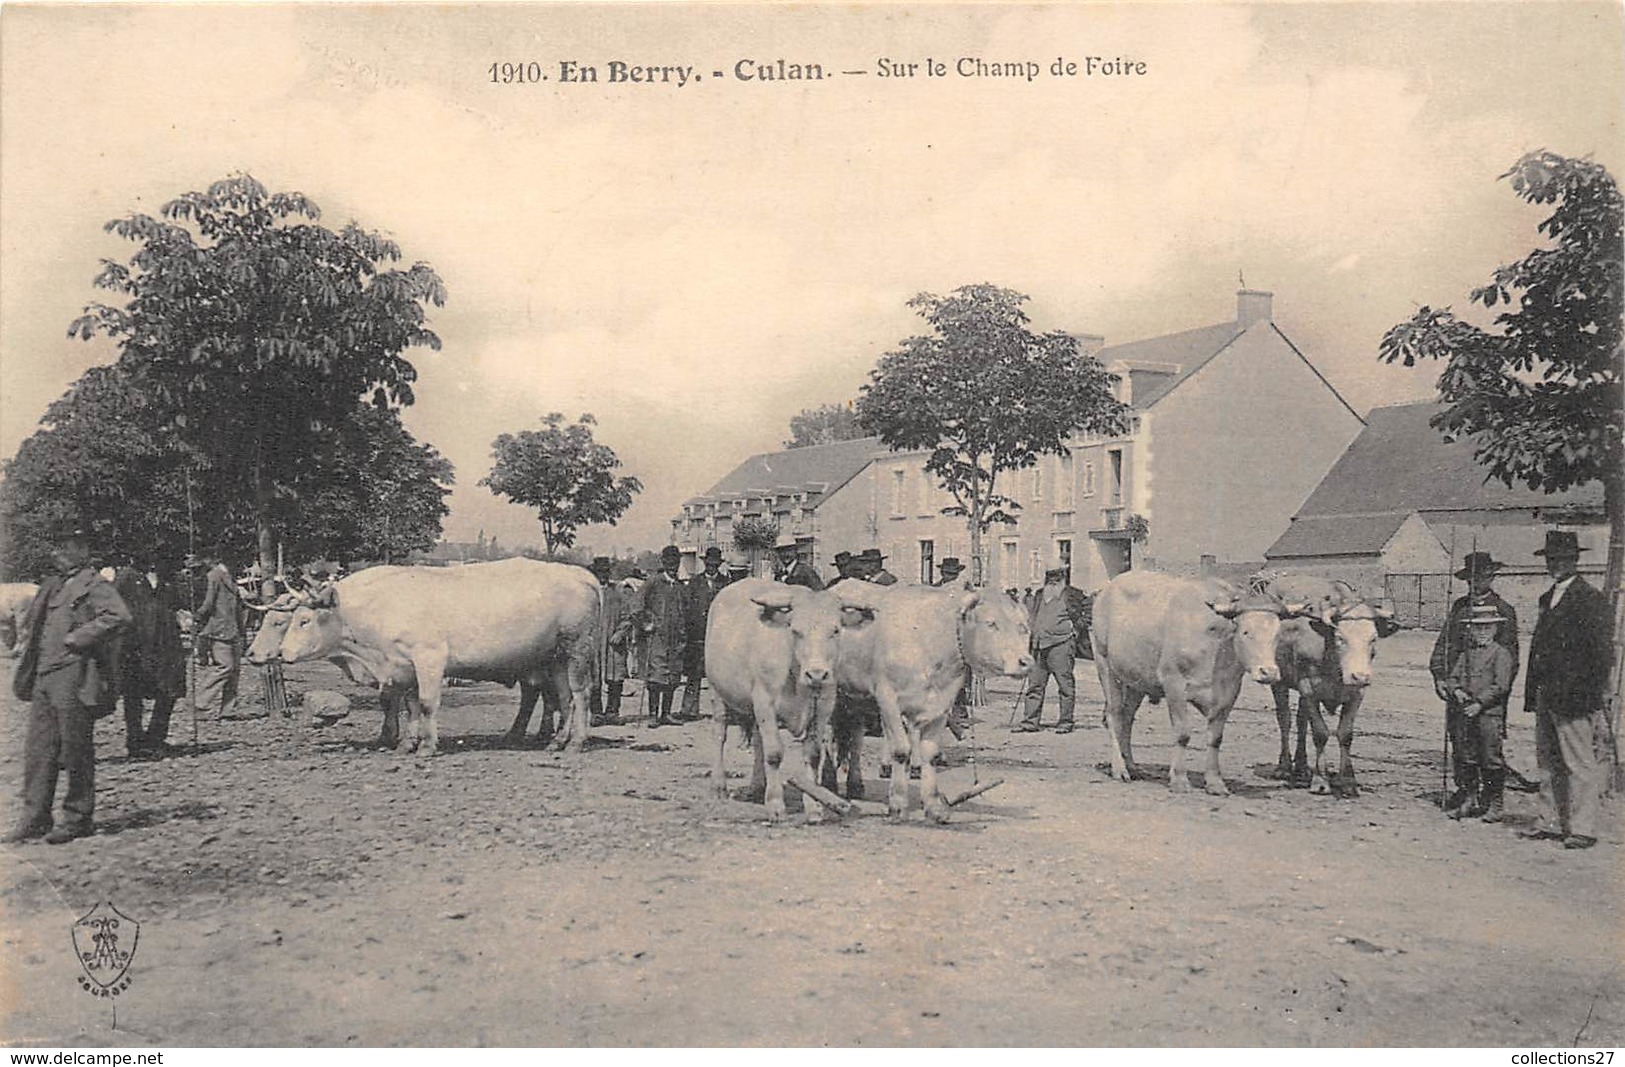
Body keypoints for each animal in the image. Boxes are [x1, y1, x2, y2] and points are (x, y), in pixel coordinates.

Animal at [250, 558, 607, 756]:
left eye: (302, 620)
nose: (279, 653)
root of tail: (582, 574)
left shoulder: (429, 659)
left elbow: (425, 703)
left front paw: (425, 746)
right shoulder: (402, 666)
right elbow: (408, 704)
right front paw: (405, 743)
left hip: (577, 649)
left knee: (580, 693)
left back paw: (576, 742)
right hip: (555, 657)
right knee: (562, 696)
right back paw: (556, 741)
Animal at [702, 578, 871, 818]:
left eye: (836, 630)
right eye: (796, 631)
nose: (816, 673)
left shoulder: (823, 707)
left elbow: (812, 755)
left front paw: (814, 806)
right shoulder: (765, 702)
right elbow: (774, 754)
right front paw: (775, 804)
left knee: (758, 741)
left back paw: (757, 786)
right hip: (717, 691)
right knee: (720, 734)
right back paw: (719, 786)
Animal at [1085, 574, 1300, 789]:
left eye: (1277, 634)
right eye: (1246, 632)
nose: (1269, 672)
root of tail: (1109, 588)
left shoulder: (1229, 692)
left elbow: (1215, 738)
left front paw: (1215, 782)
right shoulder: (1174, 684)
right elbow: (1182, 733)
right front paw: (1179, 778)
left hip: (1135, 680)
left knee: (1127, 717)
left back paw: (1132, 766)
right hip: (1105, 664)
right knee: (1114, 716)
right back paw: (1120, 769)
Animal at [1261, 578, 1404, 795]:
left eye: (1373, 639)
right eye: (1340, 638)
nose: (1359, 676)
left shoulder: (1357, 693)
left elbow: (1345, 734)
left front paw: (1348, 780)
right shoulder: (1309, 688)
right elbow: (1320, 733)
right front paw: (1321, 780)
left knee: (1301, 722)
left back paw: (1302, 767)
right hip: (1279, 681)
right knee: (1285, 719)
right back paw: (1284, 767)